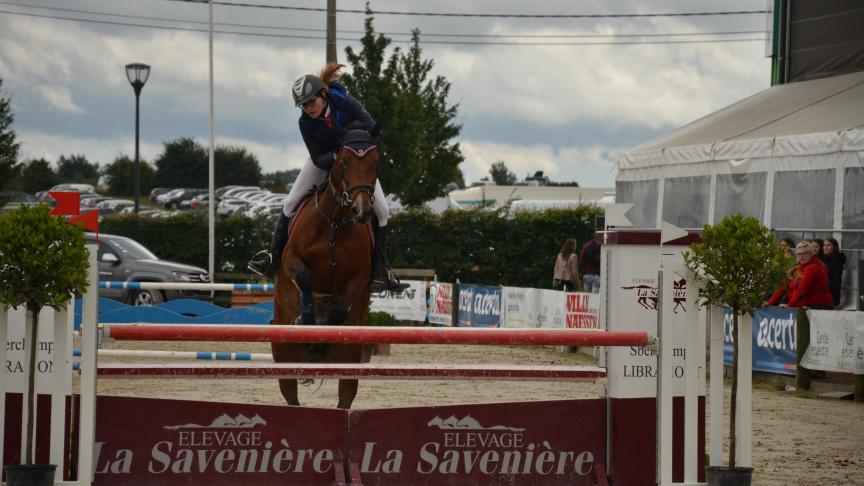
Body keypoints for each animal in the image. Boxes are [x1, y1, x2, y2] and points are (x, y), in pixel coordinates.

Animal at [270, 129, 378, 410]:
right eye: (344, 163)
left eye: (375, 164)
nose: (361, 211)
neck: (335, 221)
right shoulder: (291, 258)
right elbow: (305, 278)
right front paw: (306, 321)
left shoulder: (360, 275)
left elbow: (340, 309)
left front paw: (323, 332)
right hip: (283, 357)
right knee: (291, 397)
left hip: (350, 362)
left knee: (345, 398)